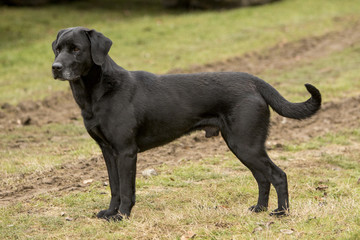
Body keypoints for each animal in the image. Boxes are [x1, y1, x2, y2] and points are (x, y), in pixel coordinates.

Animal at [51, 27, 320, 220]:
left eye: (76, 49)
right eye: (58, 49)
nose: (55, 67)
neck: (98, 93)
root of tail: (253, 81)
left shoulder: (126, 151)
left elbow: (126, 189)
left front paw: (122, 216)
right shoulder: (108, 151)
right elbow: (114, 187)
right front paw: (109, 213)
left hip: (246, 144)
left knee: (278, 175)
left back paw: (281, 213)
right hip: (241, 146)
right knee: (263, 178)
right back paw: (259, 209)